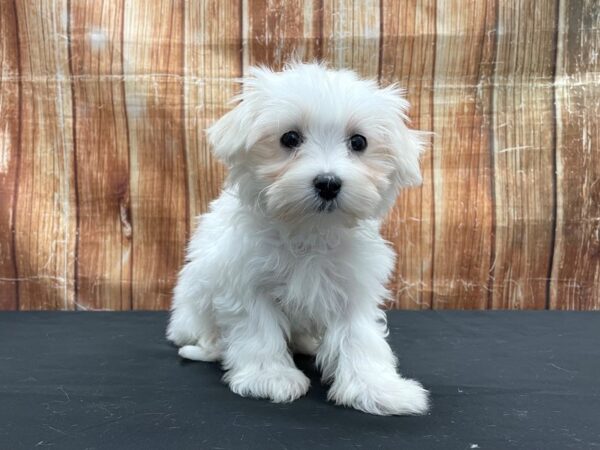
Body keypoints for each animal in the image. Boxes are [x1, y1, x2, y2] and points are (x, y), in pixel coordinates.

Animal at [169, 61, 428, 416]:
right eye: (290, 138)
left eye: (358, 142)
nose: (328, 183)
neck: (309, 229)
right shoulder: (244, 281)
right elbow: (258, 329)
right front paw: (271, 378)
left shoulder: (353, 285)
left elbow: (360, 336)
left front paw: (377, 388)